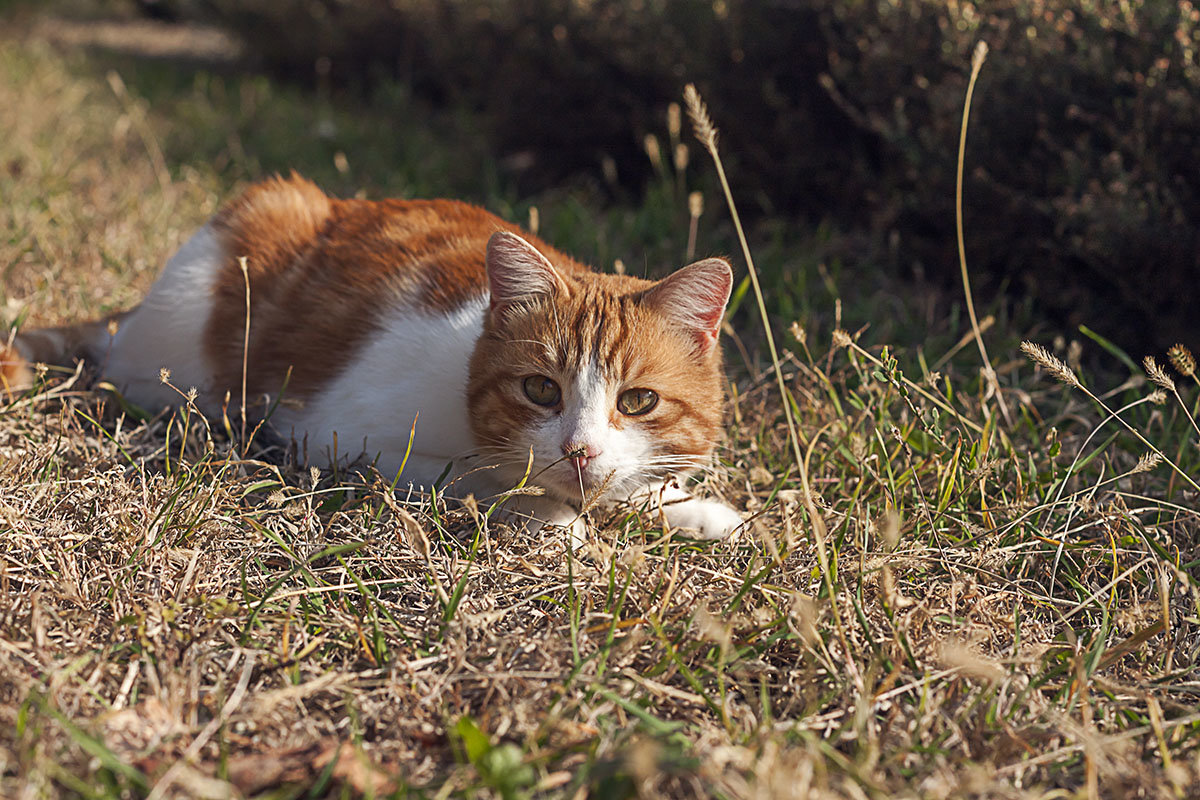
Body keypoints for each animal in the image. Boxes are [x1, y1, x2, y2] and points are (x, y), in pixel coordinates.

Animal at [2, 172, 739, 542]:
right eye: (541, 390)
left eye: (638, 401)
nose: (580, 450)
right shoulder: (341, 437)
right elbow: (492, 483)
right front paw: (559, 519)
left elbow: (639, 487)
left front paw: (688, 508)